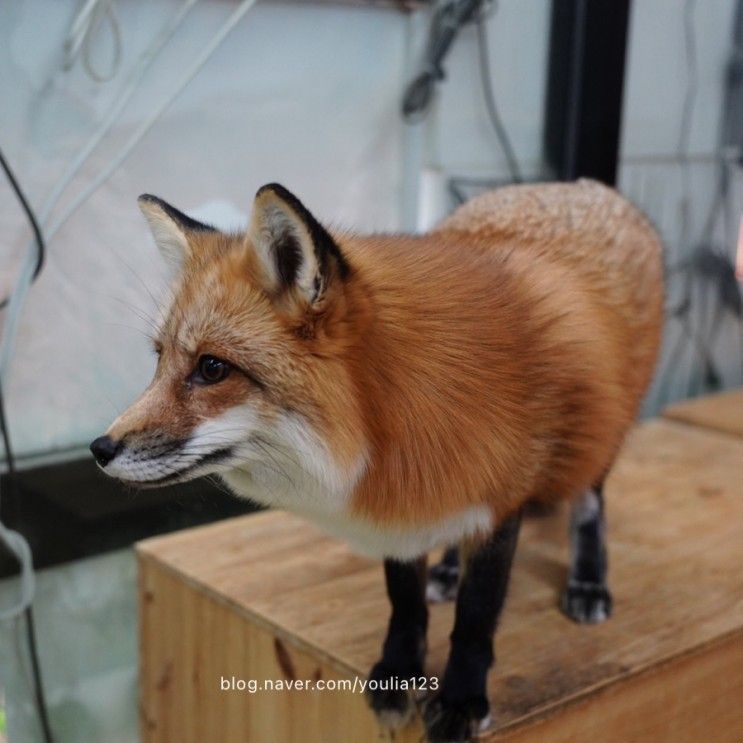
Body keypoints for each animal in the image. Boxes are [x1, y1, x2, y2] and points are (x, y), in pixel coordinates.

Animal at [91, 180, 664, 743]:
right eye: (160, 360)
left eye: (212, 368)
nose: (99, 449)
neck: (397, 413)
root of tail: (582, 186)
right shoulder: (404, 497)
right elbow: (404, 601)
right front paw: (399, 672)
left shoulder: (502, 502)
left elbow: (476, 616)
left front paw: (460, 699)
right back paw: (448, 568)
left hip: (602, 432)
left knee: (589, 505)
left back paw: (587, 580)